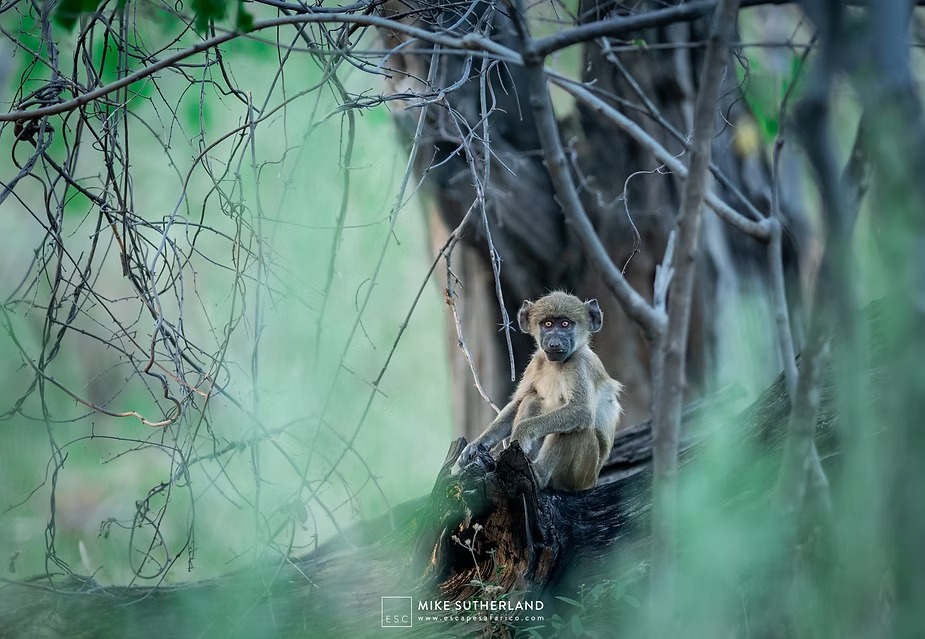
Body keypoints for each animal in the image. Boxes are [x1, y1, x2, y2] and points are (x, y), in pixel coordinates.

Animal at [458, 292, 623, 492]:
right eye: (548, 324)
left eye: (565, 324)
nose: (554, 343)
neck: (557, 364)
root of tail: (592, 482)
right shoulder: (536, 361)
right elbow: (518, 403)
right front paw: (477, 444)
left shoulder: (580, 362)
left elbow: (581, 410)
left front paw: (520, 435)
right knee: (531, 399)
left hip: (581, 475)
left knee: (577, 427)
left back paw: (539, 476)